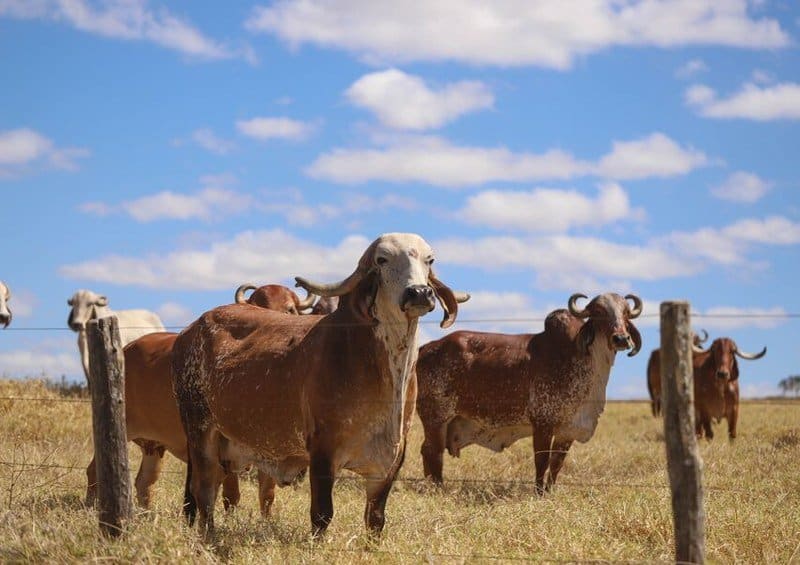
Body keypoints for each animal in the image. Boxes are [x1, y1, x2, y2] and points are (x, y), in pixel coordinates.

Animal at [85, 282, 312, 512]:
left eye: (290, 309)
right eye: (256, 305)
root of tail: (127, 348)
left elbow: (266, 494)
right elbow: (231, 495)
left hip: (154, 447)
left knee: (144, 481)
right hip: (121, 430)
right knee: (93, 471)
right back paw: (91, 506)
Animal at [173, 234, 462, 536]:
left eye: (429, 260)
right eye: (382, 259)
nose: (419, 292)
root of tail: (189, 331)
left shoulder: (390, 460)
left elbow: (375, 519)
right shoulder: (323, 449)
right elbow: (322, 514)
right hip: (200, 432)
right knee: (203, 490)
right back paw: (208, 535)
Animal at [416, 294, 640, 492]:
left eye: (626, 313)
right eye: (599, 312)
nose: (621, 338)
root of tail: (426, 348)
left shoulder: (567, 431)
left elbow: (556, 464)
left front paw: (549, 492)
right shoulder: (542, 422)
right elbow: (542, 461)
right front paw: (539, 493)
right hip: (435, 418)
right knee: (432, 451)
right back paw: (437, 489)